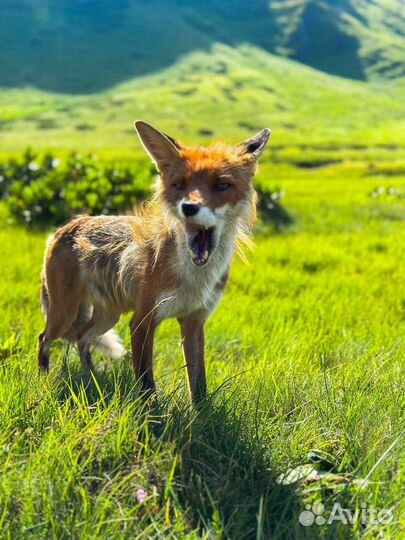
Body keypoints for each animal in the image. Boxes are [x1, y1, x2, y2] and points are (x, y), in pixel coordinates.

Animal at [38, 121, 270, 400]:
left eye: (222, 186)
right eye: (179, 185)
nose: (189, 208)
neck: (193, 280)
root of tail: (62, 229)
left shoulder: (194, 321)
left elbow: (198, 383)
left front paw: (200, 411)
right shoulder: (142, 320)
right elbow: (147, 383)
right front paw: (151, 410)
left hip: (108, 316)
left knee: (82, 338)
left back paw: (89, 377)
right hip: (65, 313)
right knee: (44, 338)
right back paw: (43, 378)